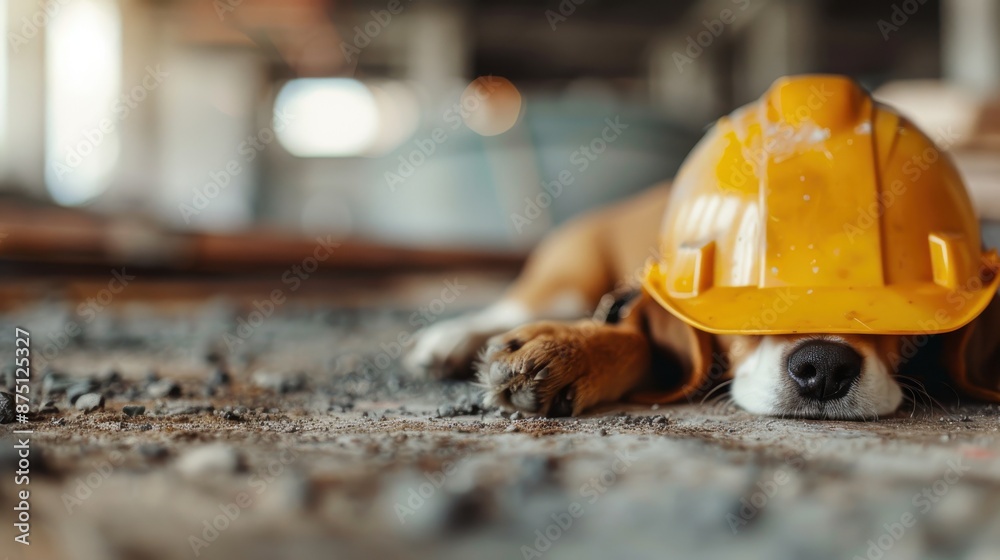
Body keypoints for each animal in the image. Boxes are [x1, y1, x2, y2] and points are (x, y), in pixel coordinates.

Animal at [402, 77, 1000, 420]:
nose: (825, 367)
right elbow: (633, 336)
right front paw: (569, 348)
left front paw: (573, 353)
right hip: (568, 274)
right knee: (516, 303)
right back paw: (450, 339)